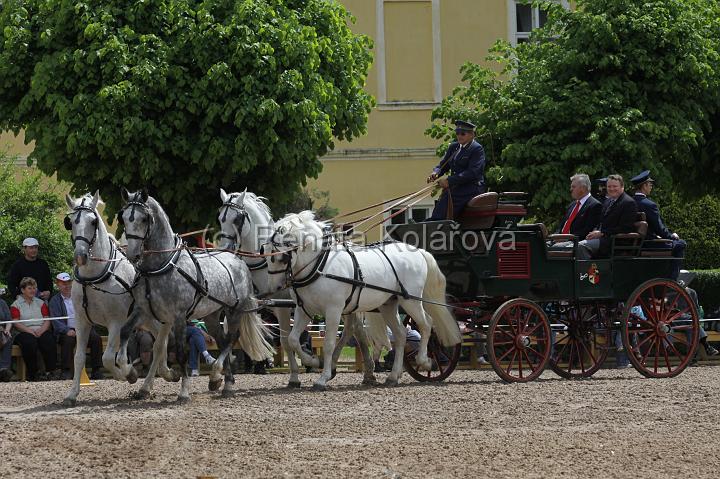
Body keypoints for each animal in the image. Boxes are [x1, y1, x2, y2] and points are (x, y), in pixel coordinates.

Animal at [63, 193, 179, 406]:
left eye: (93, 222)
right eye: (71, 222)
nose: (81, 256)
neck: (95, 276)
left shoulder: (116, 322)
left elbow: (108, 358)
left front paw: (129, 373)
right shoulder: (82, 322)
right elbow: (79, 357)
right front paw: (72, 394)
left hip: (160, 318)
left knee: (159, 345)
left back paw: (150, 382)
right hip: (147, 320)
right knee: (161, 343)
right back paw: (159, 377)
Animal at [115, 188, 272, 402]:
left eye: (144, 218)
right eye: (123, 218)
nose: (132, 254)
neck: (161, 265)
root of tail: (237, 259)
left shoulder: (179, 316)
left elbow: (181, 353)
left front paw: (184, 391)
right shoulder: (144, 310)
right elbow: (126, 332)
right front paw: (128, 371)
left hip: (234, 310)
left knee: (232, 338)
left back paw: (218, 375)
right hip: (212, 315)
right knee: (223, 340)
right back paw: (224, 381)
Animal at [215, 189, 380, 388]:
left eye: (237, 219)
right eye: (220, 218)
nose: (225, 247)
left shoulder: (283, 306)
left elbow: (287, 340)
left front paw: (300, 370)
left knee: (353, 328)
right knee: (355, 328)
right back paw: (362, 370)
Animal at [266, 211, 462, 390]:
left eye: (280, 257)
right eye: (266, 255)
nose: (276, 288)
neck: (319, 265)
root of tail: (418, 251)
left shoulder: (333, 310)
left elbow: (329, 344)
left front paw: (322, 378)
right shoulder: (304, 310)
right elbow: (292, 339)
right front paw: (312, 361)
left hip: (410, 301)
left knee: (426, 324)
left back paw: (424, 361)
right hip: (388, 305)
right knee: (400, 334)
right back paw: (393, 376)